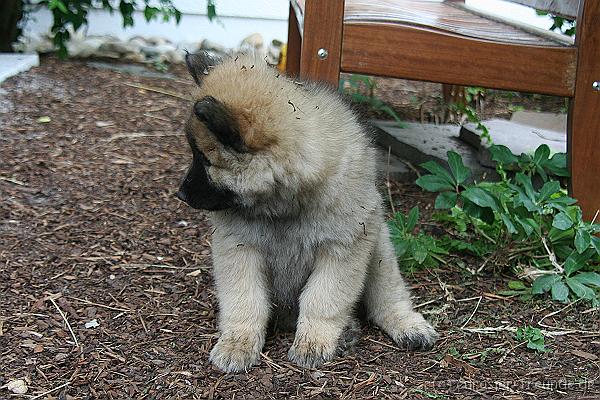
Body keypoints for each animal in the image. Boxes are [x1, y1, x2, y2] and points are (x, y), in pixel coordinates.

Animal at [176, 52, 438, 372]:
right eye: (194, 153)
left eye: (204, 159)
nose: (181, 194)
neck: (285, 206)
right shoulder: (238, 249)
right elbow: (245, 300)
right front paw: (238, 343)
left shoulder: (342, 249)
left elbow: (322, 298)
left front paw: (314, 341)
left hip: (379, 250)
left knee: (389, 297)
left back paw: (407, 325)